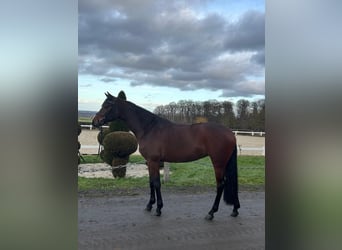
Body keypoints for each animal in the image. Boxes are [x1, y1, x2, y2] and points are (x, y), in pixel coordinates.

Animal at [92, 92, 239, 219]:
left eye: (107, 106)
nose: (95, 122)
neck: (149, 128)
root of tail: (230, 133)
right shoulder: (149, 162)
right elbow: (151, 182)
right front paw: (149, 205)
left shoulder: (154, 161)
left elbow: (156, 183)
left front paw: (158, 208)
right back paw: (235, 210)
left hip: (218, 163)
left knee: (221, 184)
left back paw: (211, 212)